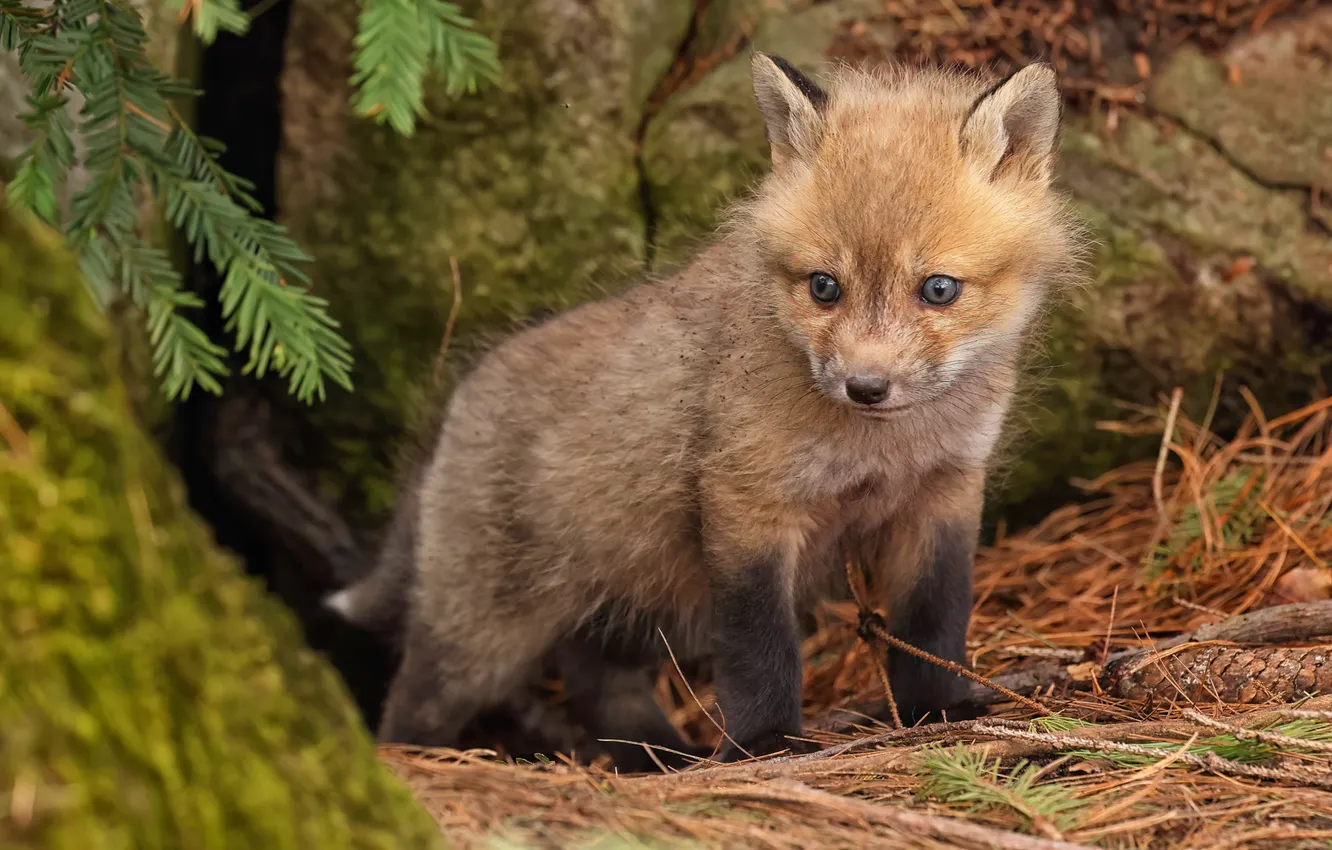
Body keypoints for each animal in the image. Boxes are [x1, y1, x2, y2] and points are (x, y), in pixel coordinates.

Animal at [327, 52, 1084, 771]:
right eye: (824, 287)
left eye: (938, 289)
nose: (865, 386)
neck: (882, 449)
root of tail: (460, 397)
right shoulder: (746, 503)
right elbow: (759, 647)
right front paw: (766, 744)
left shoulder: (944, 493)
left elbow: (935, 619)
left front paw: (941, 710)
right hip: (485, 635)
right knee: (414, 700)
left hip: (647, 598)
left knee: (594, 673)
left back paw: (655, 758)